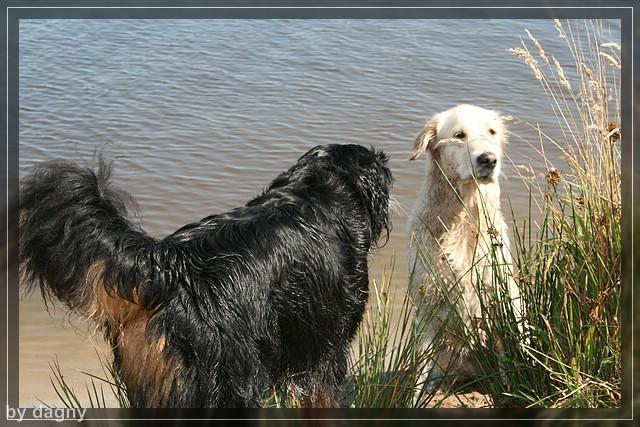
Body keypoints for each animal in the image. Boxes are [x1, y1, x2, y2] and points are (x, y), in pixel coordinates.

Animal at [410, 104, 520, 392]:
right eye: (459, 135)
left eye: (491, 132)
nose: (489, 160)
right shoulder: (428, 306)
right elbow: (419, 370)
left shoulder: (498, 297)